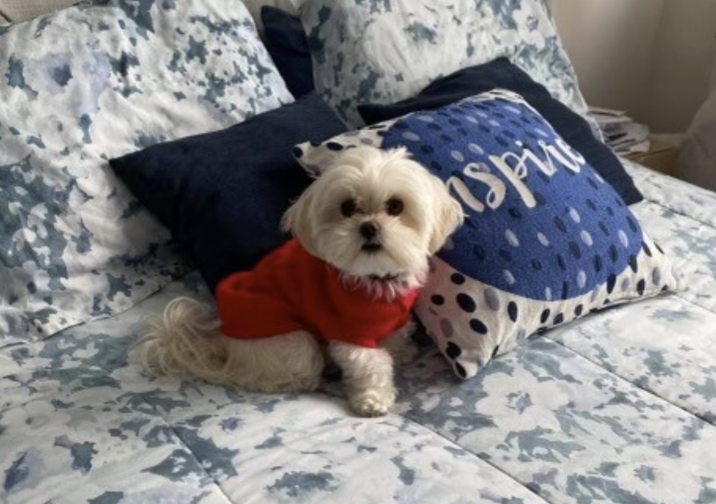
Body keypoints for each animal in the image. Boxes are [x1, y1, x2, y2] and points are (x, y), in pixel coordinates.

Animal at [135, 144, 464, 416]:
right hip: (290, 340)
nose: (369, 227)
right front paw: (373, 400)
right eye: (347, 208)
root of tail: (224, 343)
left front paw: (401, 351)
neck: (376, 277)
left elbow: (397, 334)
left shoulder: (395, 317)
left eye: (396, 206)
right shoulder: (348, 330)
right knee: (270, 375)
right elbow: (370, 365)